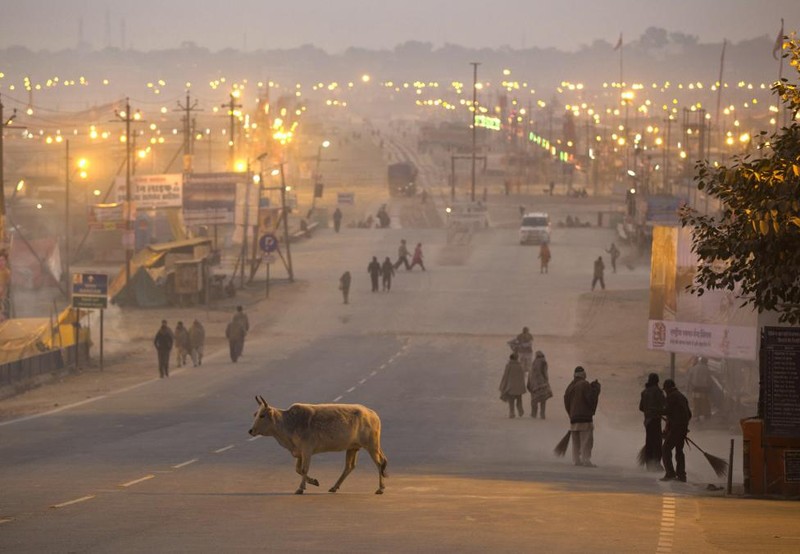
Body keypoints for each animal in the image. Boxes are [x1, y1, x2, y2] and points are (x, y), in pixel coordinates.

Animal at [248, 394, 390, 494]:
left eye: (262, 415)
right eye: (255, 414)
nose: (251, 430)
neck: (289, 423)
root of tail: (373, 414)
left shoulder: (307, 450)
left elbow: (304, 469)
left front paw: (300, 488)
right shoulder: (300, 452)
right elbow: (298, 469)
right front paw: (314, 481)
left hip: (372, 445)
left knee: (379, 463)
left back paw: (381, 488)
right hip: (353, 447)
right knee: (349, 466)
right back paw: (334, 487)